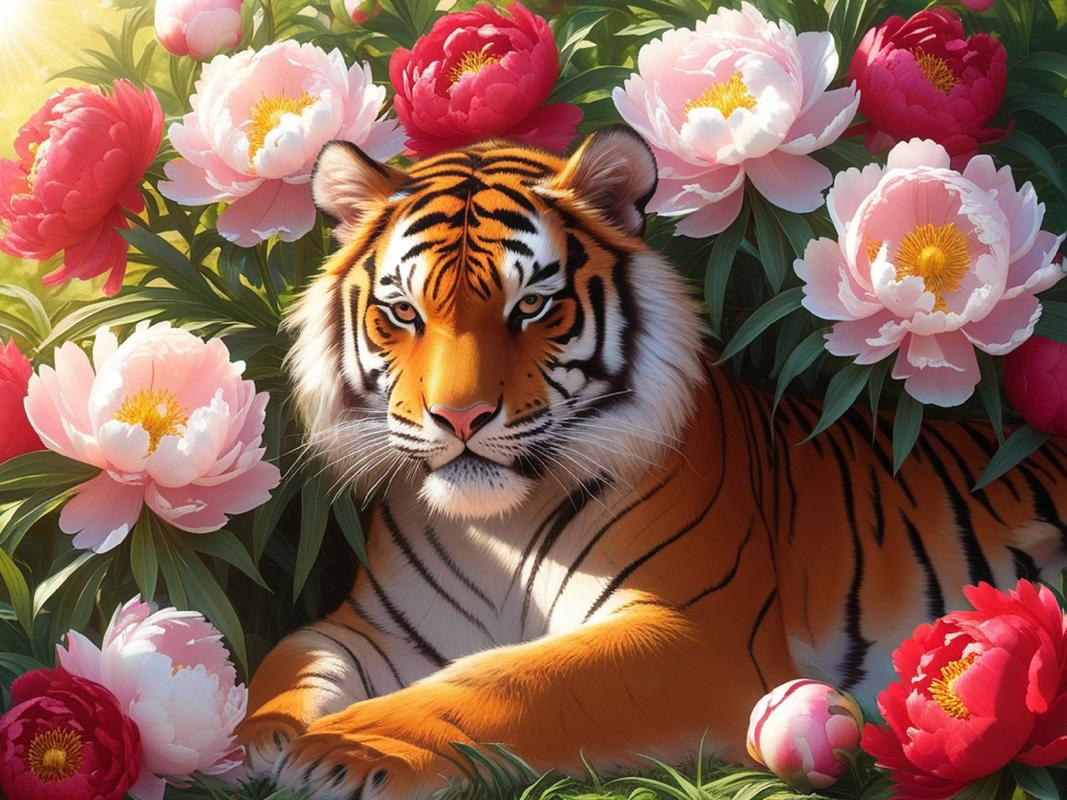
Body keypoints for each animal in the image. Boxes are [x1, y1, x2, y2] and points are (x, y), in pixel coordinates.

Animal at [237, 126, 1067, 800]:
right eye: (403, 312)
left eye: (530, 307)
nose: (459, 418)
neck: (498, 529)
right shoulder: (377, 628)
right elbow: (291, 657)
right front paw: (253, 738)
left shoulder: (693, 634)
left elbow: (508, 680)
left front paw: (347, 747)